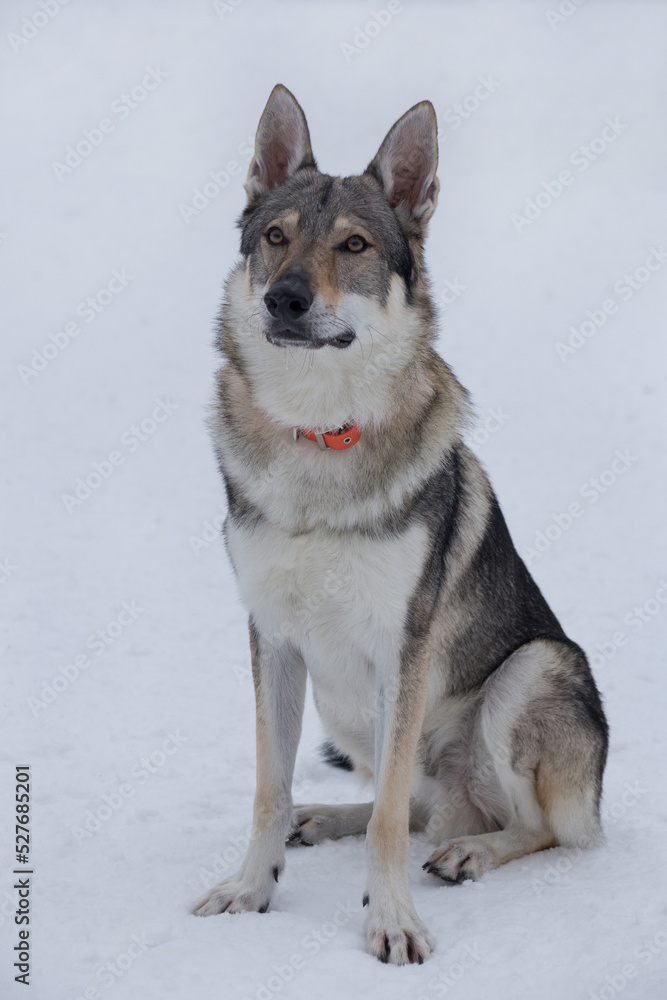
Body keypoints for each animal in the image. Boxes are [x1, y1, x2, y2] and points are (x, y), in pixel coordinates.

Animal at [190, 88, 608, 968]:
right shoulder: (273, 640)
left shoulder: (401, 651)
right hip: (341, 711)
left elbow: (386, 817)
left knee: (533, 829)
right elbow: (269, 788)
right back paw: (326, 817)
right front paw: (250, 889)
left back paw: (468, 853)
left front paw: (391, 921)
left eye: (353, 245)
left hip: (532, 670)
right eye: (275, 238)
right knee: (413, 804)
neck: (319, 433)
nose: (284, 297)